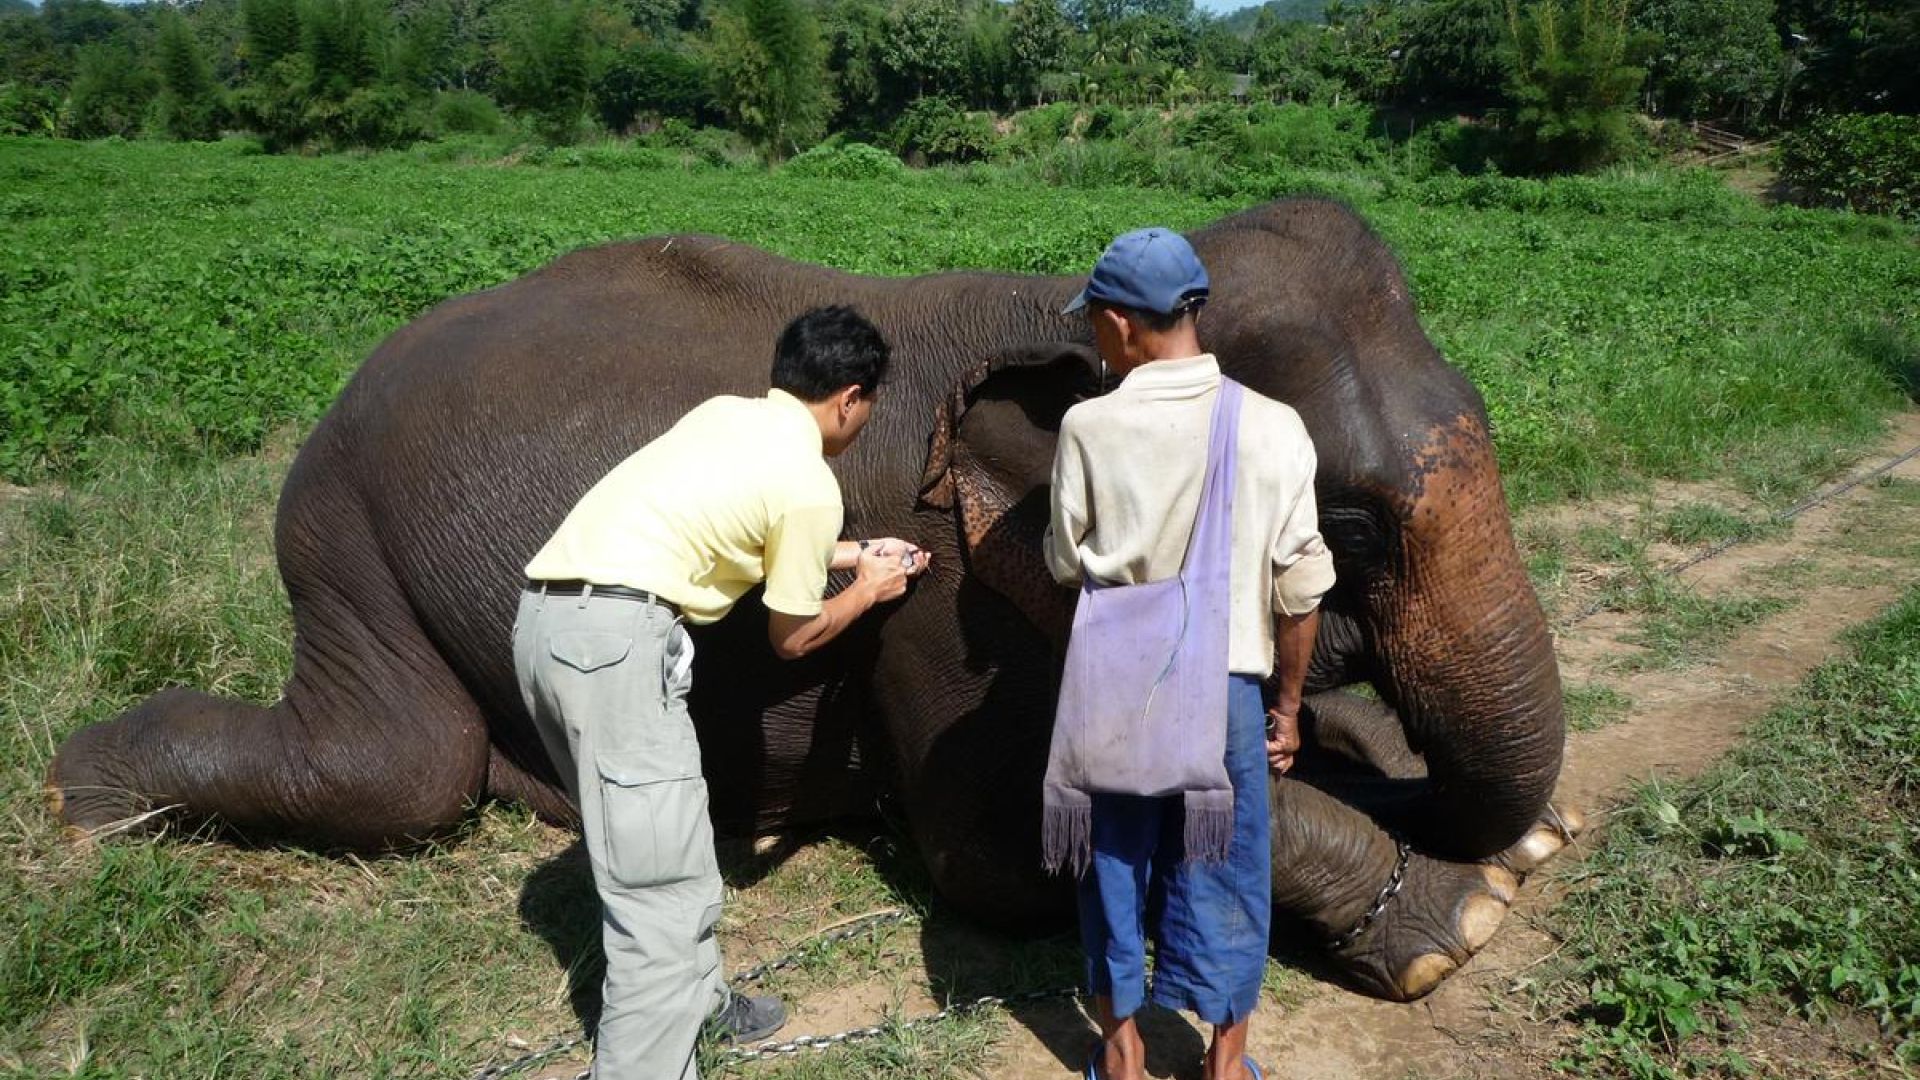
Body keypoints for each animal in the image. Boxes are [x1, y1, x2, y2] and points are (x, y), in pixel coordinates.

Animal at [52, 195, 1574, 999]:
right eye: (1348, 523)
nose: (1510, 831)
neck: (1064, 315)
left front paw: (1507, 833)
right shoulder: (953, 592)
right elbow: (991, 847)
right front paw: (1460, 920)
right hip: (347, 543)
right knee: (397, 770)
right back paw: (83, 793)